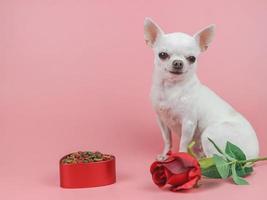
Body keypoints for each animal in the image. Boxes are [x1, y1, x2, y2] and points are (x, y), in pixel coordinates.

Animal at [144, 18, 260, 160]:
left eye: (192, 58)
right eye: (162, 55)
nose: (178, 62)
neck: (172, 88)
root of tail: (251, 157)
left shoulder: (188, 123)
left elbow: (183, 143)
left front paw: (181, 156)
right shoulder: (162, 120)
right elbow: (167, 140)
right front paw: (165, 155)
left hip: (209, 133)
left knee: (216, 158)